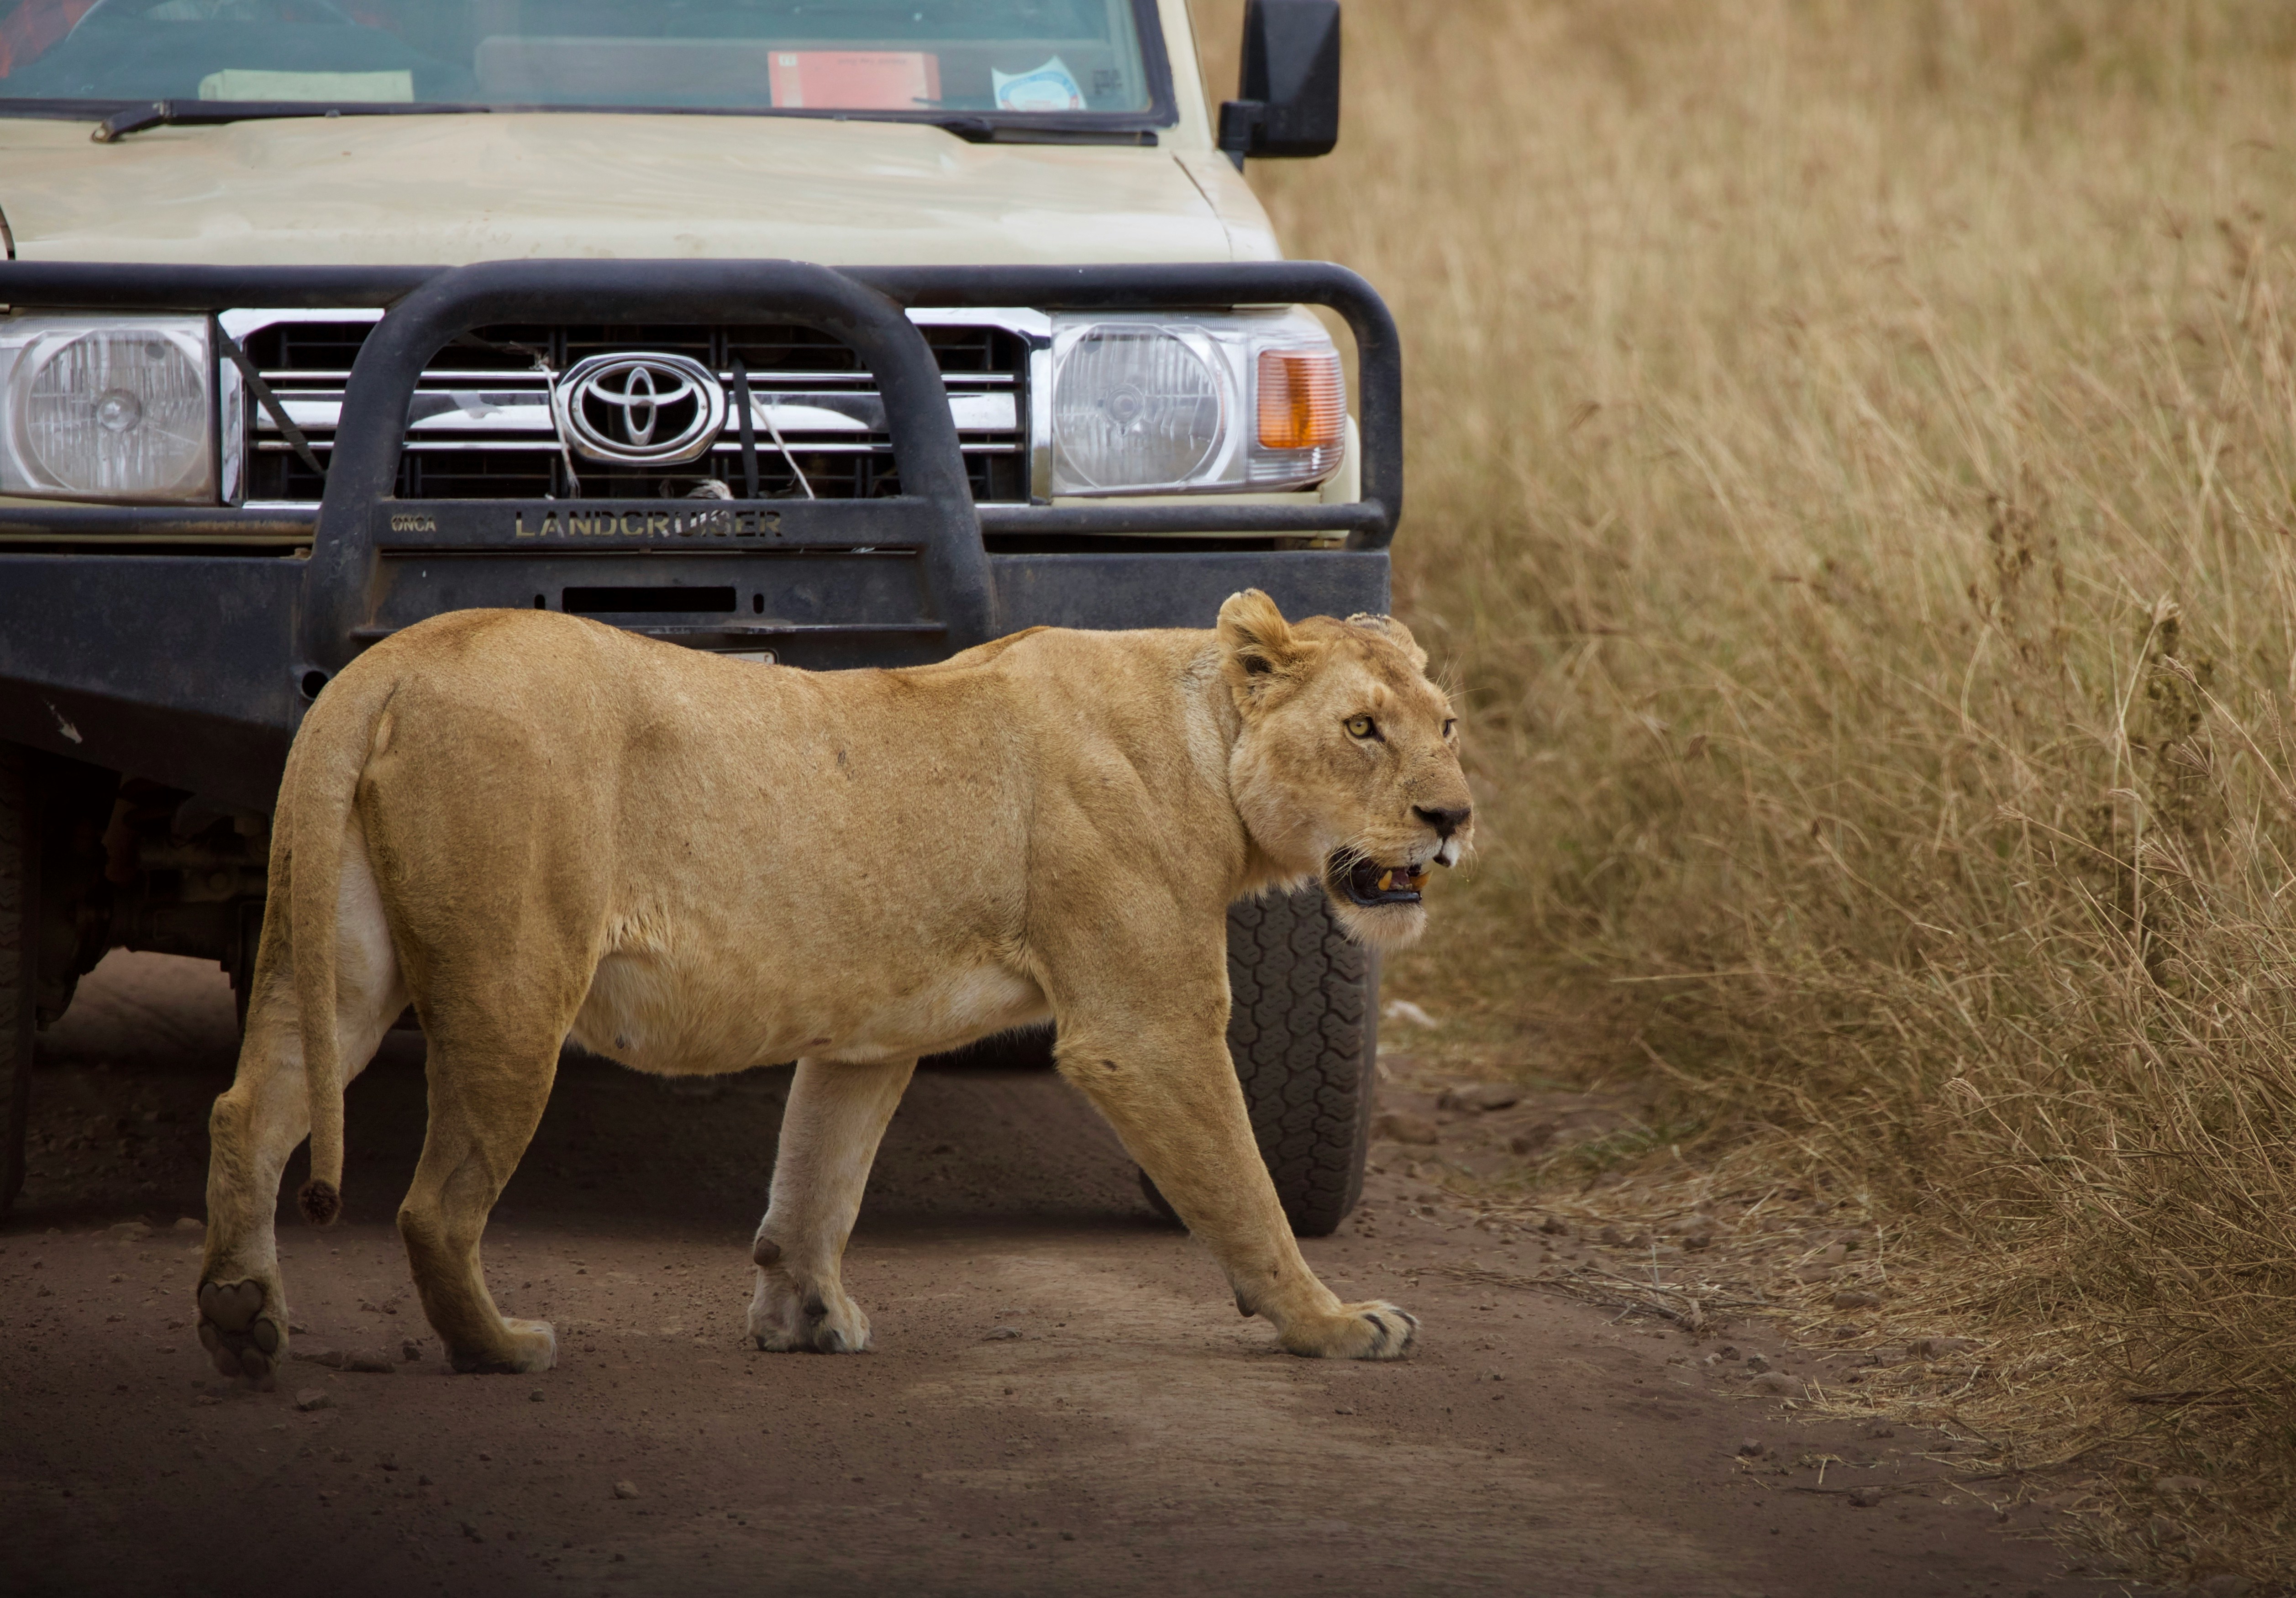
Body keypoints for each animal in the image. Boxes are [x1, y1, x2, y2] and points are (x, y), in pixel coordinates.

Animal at [192, 590, 1472, 1378]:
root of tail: (391, 661)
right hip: (514, 985)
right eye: (1362, 729)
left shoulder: (868, 1032)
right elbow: (1246, 1192)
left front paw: (803, 1317)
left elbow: (819, 1175)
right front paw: (1333, 1323)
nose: (1453, 817)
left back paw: (241, 1319)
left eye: (1449, 726)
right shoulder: (1144, 1028)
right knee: (433, 1205)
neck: (1202, 735)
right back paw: (499, 1348)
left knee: (249, 1109)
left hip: (345, 963)